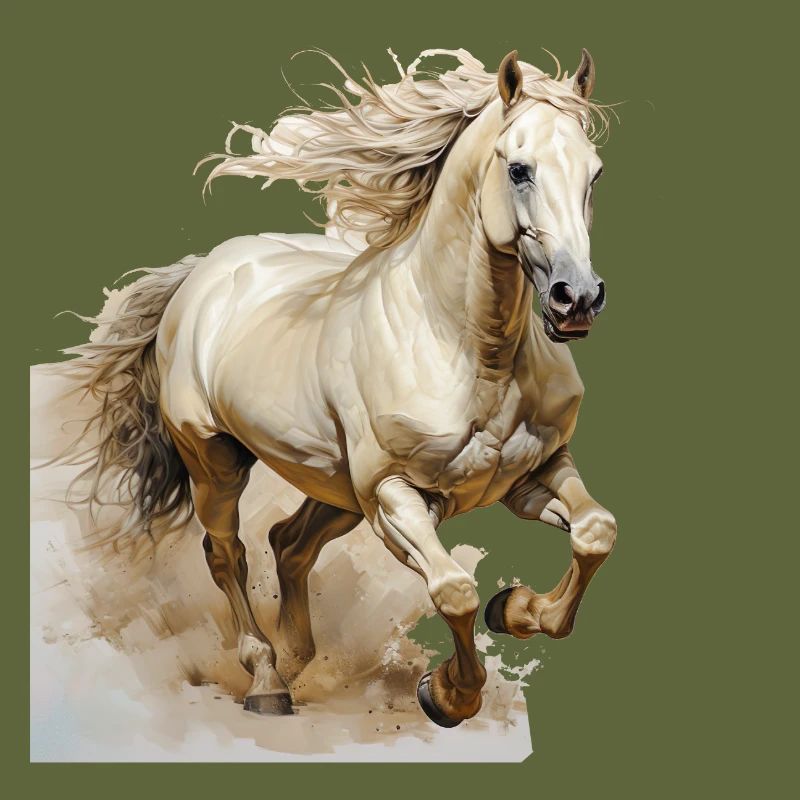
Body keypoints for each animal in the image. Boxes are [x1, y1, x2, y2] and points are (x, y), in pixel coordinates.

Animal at [64, 47, 617, 728]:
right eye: (519, 169)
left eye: (594, 174)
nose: (577, 298)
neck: (469, 352)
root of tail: (202, 273)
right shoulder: (393, 496)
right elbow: (454, 590)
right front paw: (447, 694)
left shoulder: (533, 473)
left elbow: (596, 532)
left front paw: (514, 609)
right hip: (217, 462)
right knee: (228, 554)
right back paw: (267, 680)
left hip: (332, 486)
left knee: (288, 544)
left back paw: (299, 658)